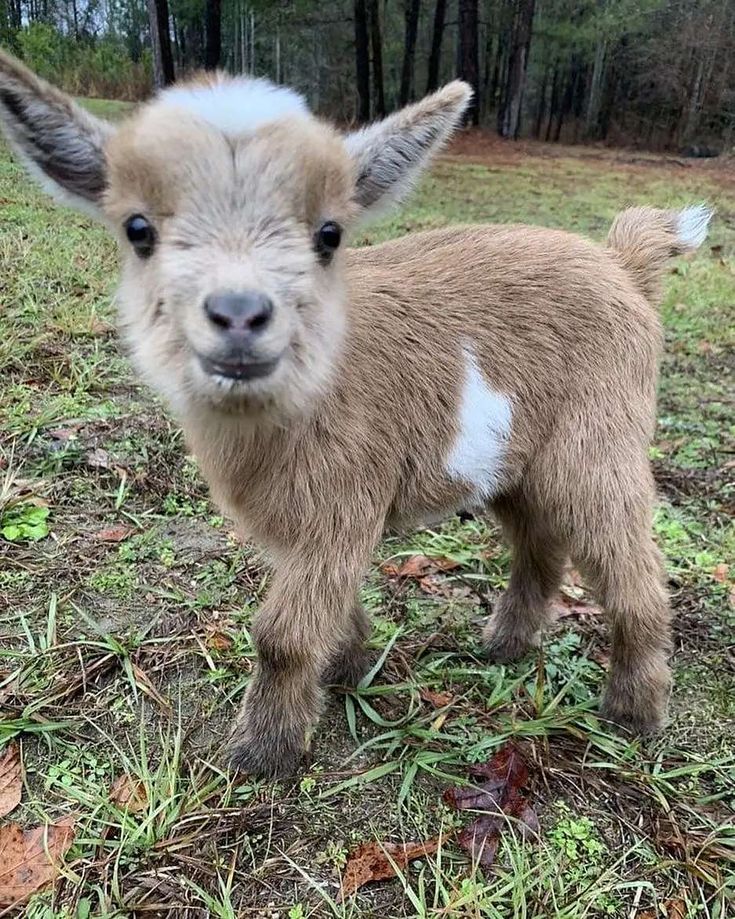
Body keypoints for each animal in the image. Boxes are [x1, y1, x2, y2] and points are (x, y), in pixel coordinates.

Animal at [0, 52, 712, 776]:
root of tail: (623, 265)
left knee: (630, 565)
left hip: (598, 441)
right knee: (541, 543)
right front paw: (347, 667)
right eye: (138, 230)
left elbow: (281, 635)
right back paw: (502, 645)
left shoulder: (342, 498)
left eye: (329, 234)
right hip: (516, 460)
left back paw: (634, 711)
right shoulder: (292, 520)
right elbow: (327, 608)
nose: (239, 314)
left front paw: (264, 751)